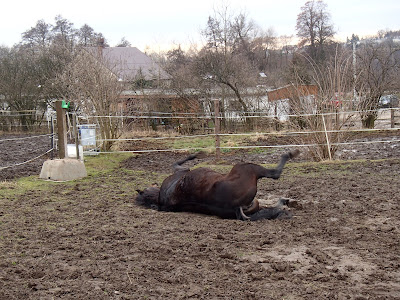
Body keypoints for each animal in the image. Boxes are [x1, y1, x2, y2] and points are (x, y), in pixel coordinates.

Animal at [136, 149, 298, 220]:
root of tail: (235, 207)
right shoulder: (181, 170)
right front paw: (194, 155)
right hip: (247, 167)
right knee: (275, 173)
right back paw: (291, 153)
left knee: (271, 210)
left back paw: (285, 206)